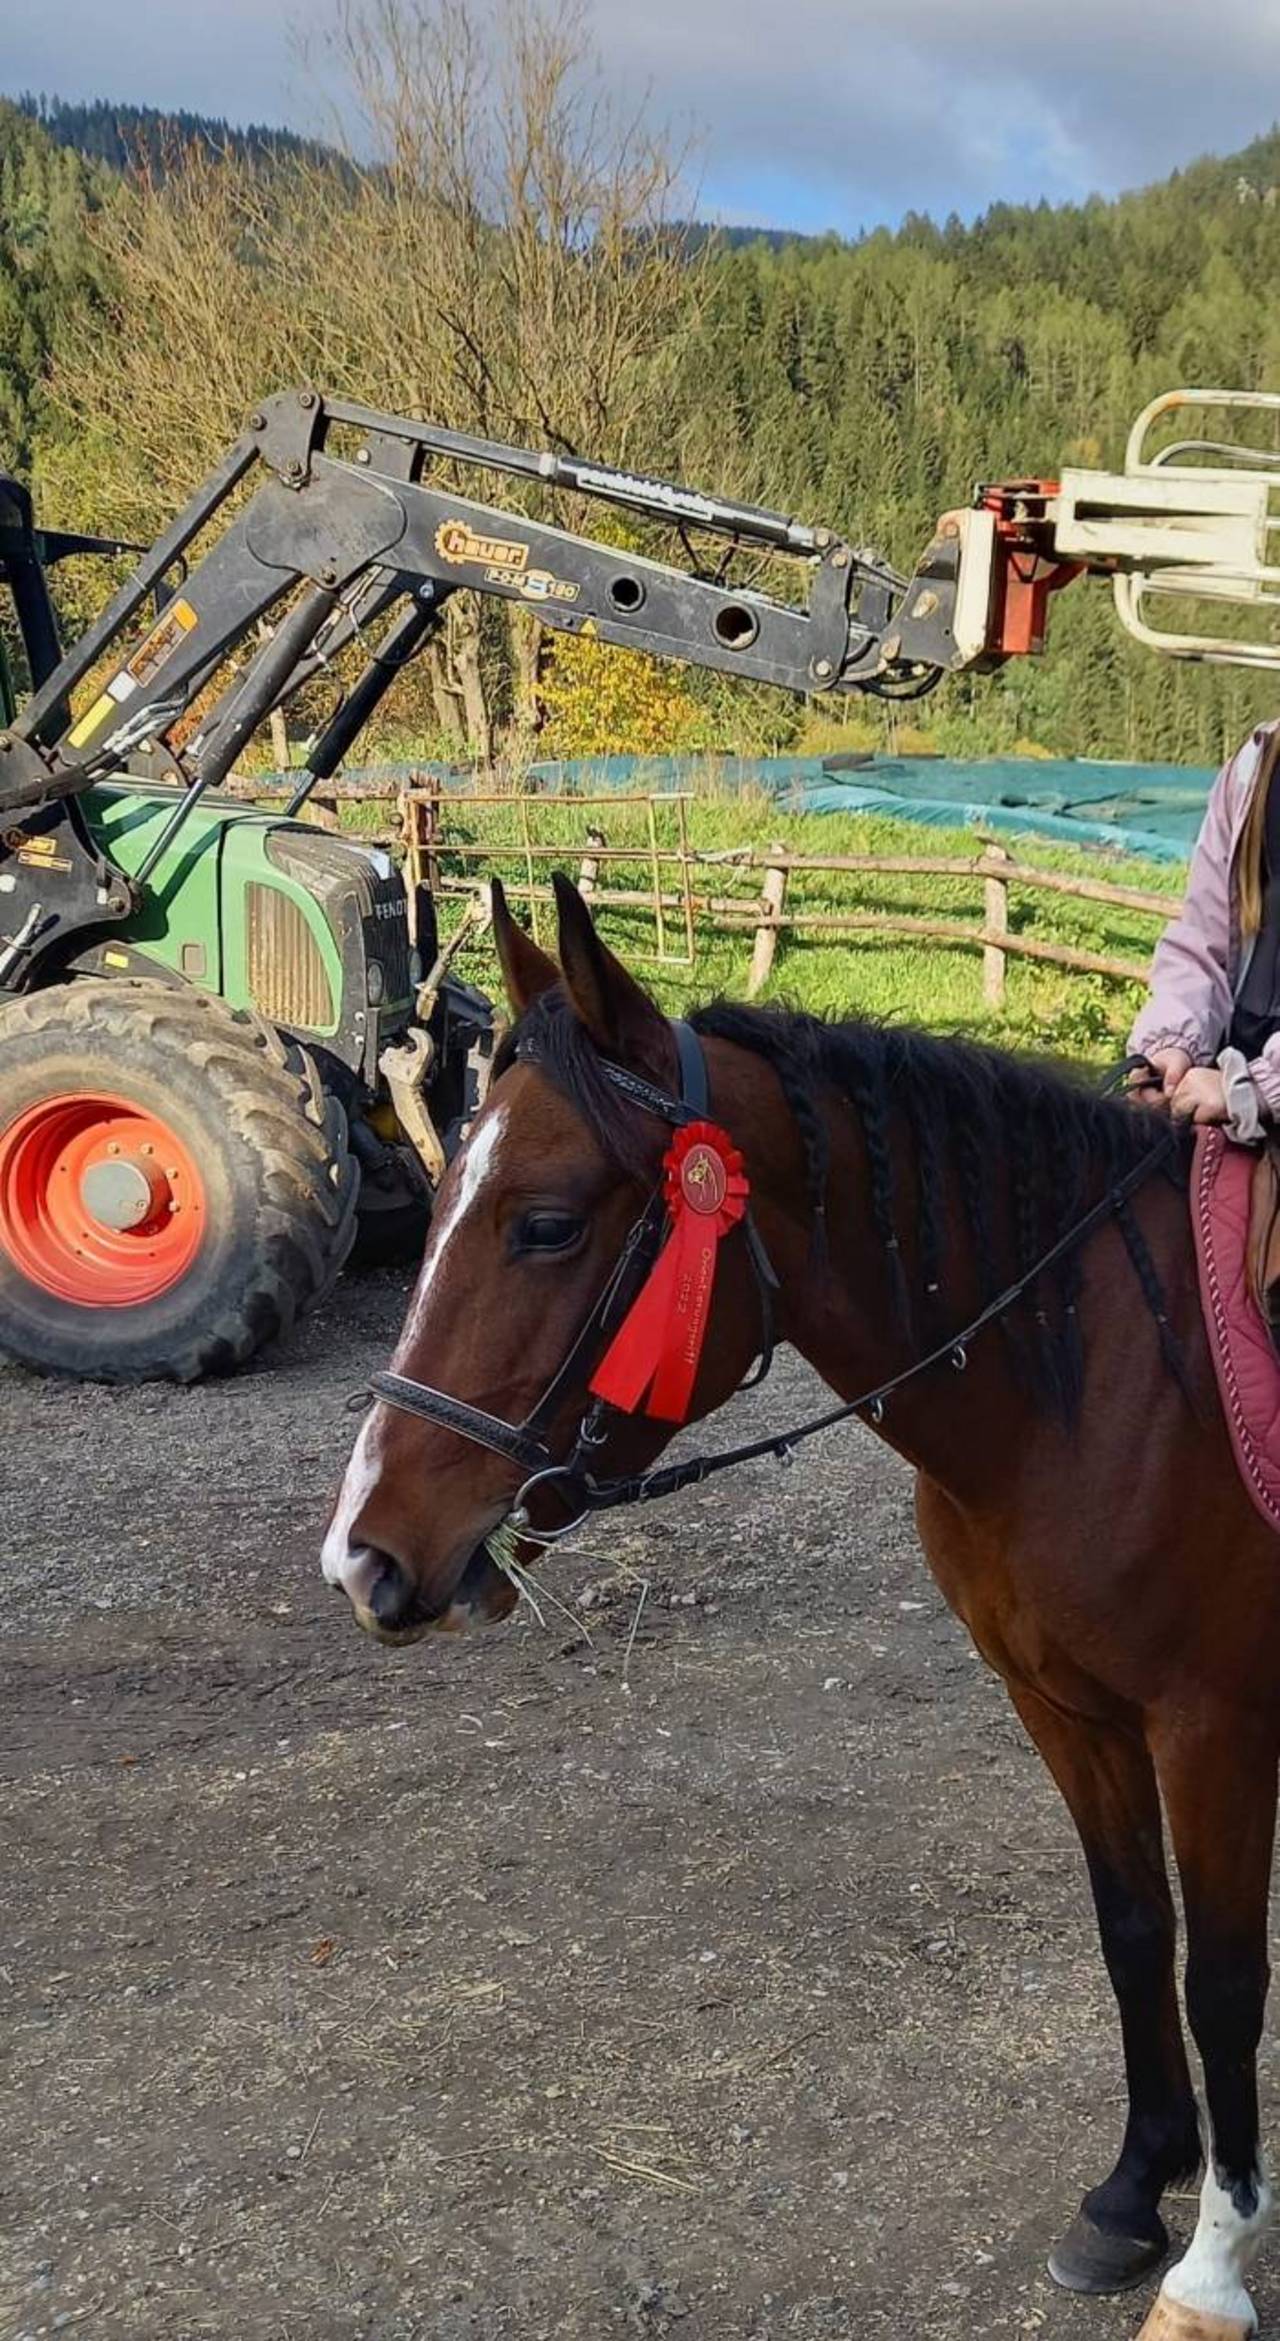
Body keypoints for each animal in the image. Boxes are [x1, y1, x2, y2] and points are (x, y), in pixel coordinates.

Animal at [322, 875, 1280, 2341]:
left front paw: (1214, 2266)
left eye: (545, 1223)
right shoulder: (1064, 1709)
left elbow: (1220, 1982)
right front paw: (1134, 2186)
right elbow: (1133, 1935)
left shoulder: (1212, 1731)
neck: (1101, 1371)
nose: (364, 1557)